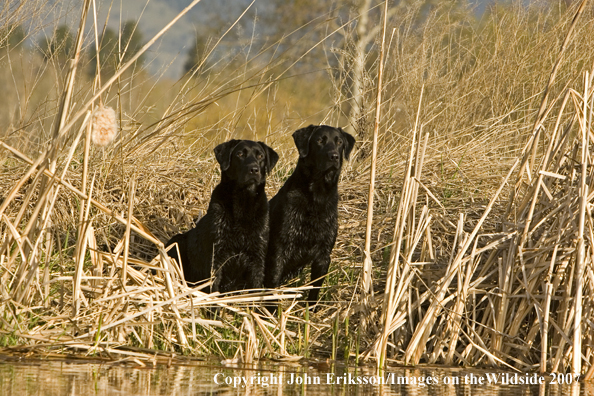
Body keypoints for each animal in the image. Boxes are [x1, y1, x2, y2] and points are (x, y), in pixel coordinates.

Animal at [164, 140, 278, 294]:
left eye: (260, 156)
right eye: (240, 154)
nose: (254, 169)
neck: (242, 202)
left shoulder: (257, 257)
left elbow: (255, 286)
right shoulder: (216, 256)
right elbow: (214, 286)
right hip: (176, 241)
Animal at [264, 124, 356, 304]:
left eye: (339, 142)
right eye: (320, 140)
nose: (334, 156)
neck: (316, 197)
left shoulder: (323, 255)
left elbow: (314, 291)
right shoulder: (278, 251)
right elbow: (272, 289)